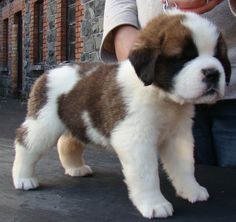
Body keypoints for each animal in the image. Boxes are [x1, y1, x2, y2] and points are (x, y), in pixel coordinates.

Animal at [12, 9, 230, 219]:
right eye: (183, 58)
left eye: (218, 57)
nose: (212, 73)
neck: (162, 96)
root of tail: (48, 72)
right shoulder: (136, 140)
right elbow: (146, 174)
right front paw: (154, 204)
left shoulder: (178, 136)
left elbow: (184, 166)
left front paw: (192, 190)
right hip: (43, 123)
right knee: (26, 143)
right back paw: (24, 178)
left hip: (77, 121)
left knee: (66, 142)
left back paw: (75, 168)